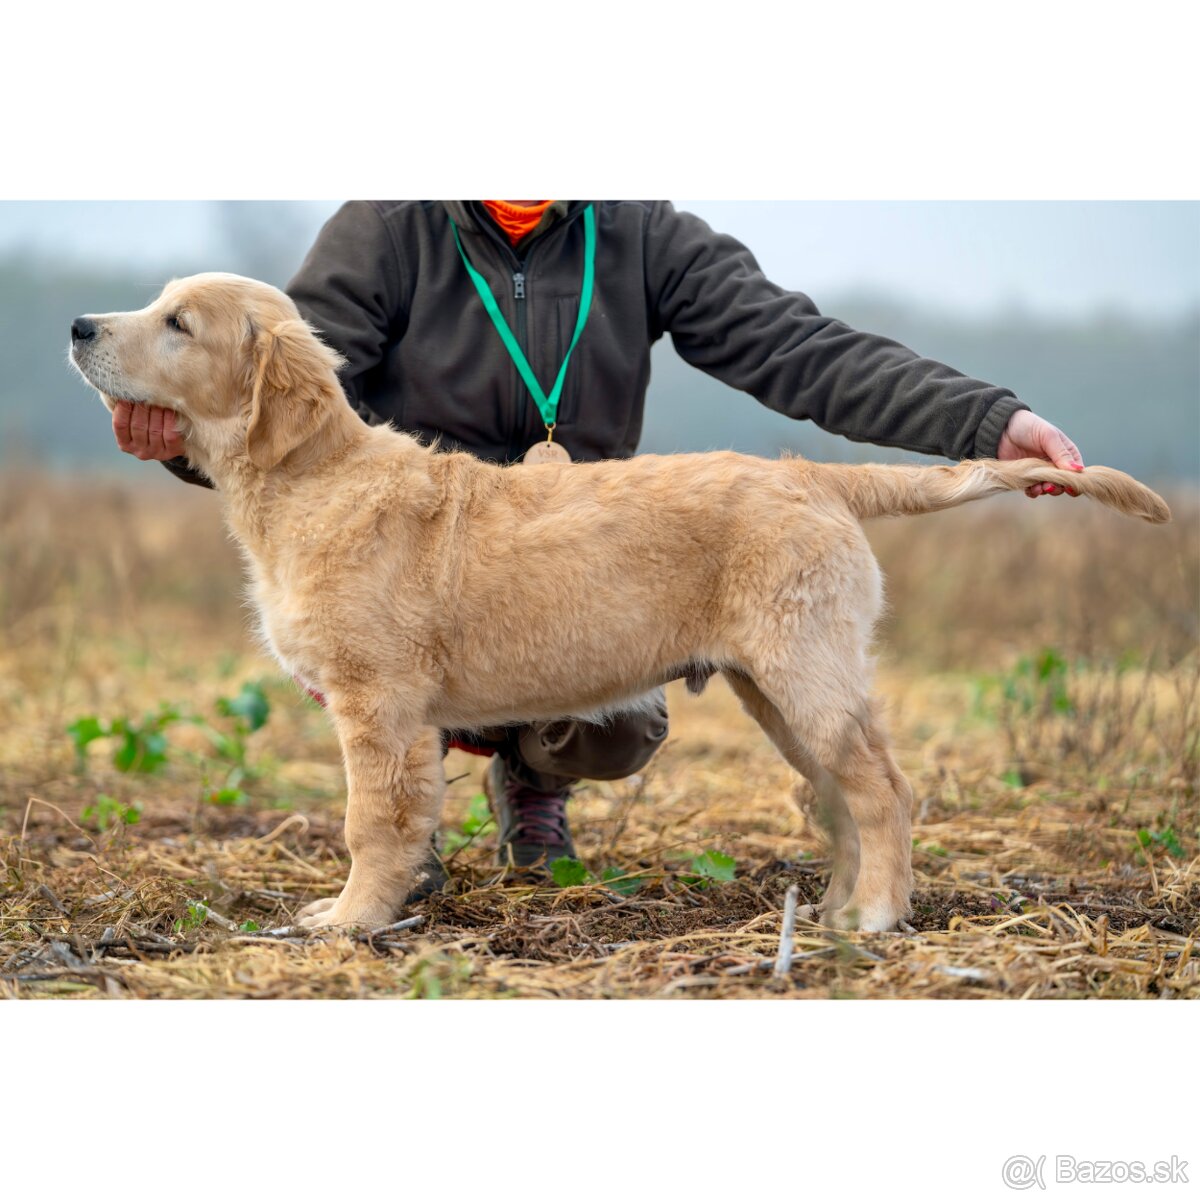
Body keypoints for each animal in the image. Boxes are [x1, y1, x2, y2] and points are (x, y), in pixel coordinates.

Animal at [68, 276, 1171, 931]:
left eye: (179, 324)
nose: (78, 324)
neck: (310, 478)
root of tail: (813, 474)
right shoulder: (397, 715)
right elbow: (404, 819)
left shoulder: (377, 704)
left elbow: (370, 821)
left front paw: (348, 922)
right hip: (775, 686)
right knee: (839, 799)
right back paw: (832, 912)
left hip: (805, 667)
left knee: (884, 791)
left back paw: (874, 918)